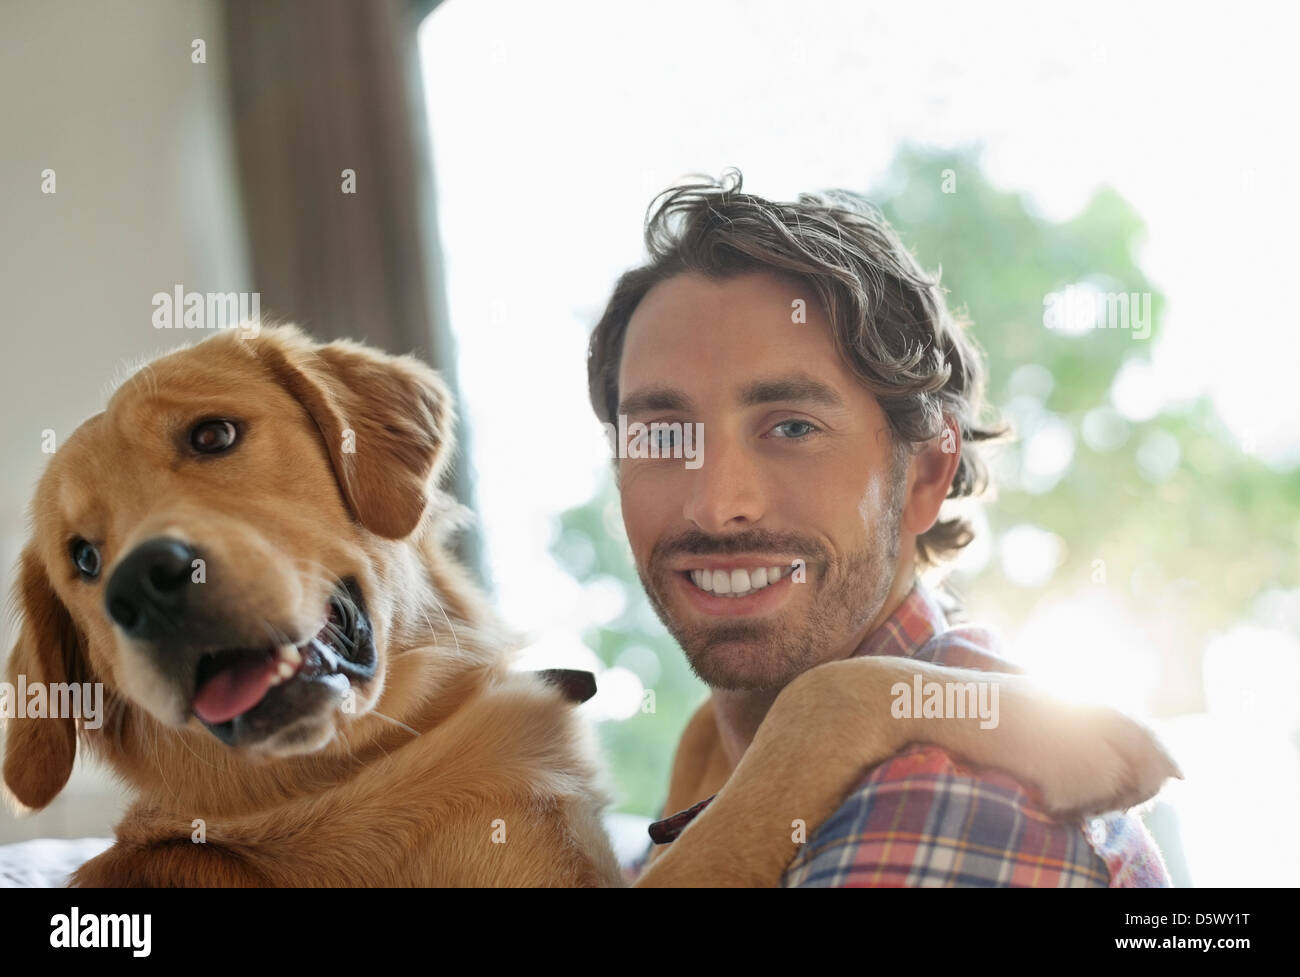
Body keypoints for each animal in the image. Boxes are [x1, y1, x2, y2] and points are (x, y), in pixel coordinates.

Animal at [0, 326, 1180, 883]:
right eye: (81, 557)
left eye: (212, 434)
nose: (140, 582)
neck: (372, 753)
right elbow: (817, 702)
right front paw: (1068, 727)